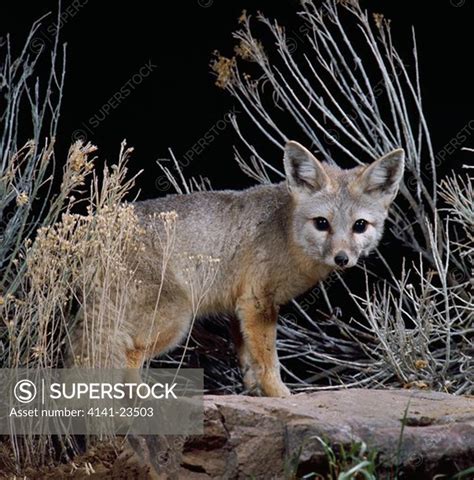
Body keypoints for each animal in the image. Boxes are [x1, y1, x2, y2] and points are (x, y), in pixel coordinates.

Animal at [69, 140, 404, 398]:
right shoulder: (258, 303)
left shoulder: (239, 307)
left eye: (359, 226)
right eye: (322, 223)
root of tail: (101, 235)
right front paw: (281, 395)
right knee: (129, 357)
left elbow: (248, 358)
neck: (287, 232)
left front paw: (254, 391)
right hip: (175, 319)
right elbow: (269, 360)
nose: (342, 258)